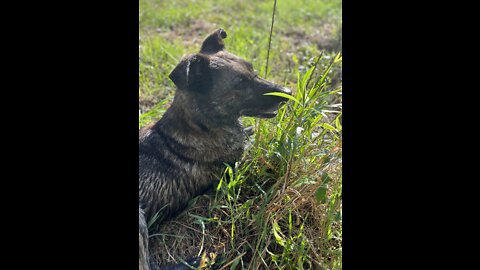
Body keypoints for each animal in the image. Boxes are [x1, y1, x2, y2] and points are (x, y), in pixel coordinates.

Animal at [137, 28, 290, 268]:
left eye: (253, 70)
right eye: (240, 83)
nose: (288, 91)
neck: (201, 125)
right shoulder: (234, 168)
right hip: (139, 219)